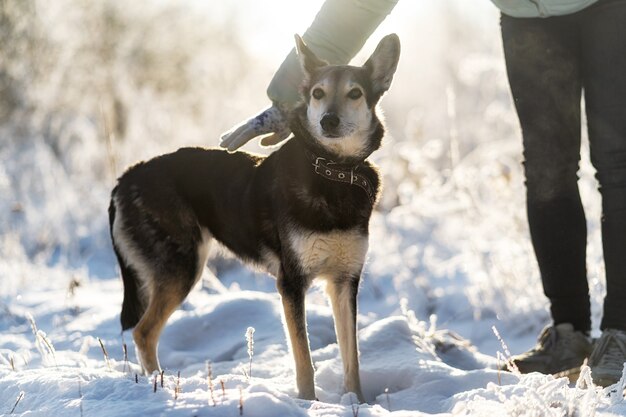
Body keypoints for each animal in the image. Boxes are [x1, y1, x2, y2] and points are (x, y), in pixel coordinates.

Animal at [108, 33, 400, 400]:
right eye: (318, 93)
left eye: (355, 93)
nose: (328, 121)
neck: (333, 172)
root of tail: (126, 177)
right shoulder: (291, 283)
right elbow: (304, 362)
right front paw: (308, 403)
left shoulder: (345, 282)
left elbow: (352, 360)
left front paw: (356, 402)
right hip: (182, 267)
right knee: (143, 332)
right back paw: (156, 388)